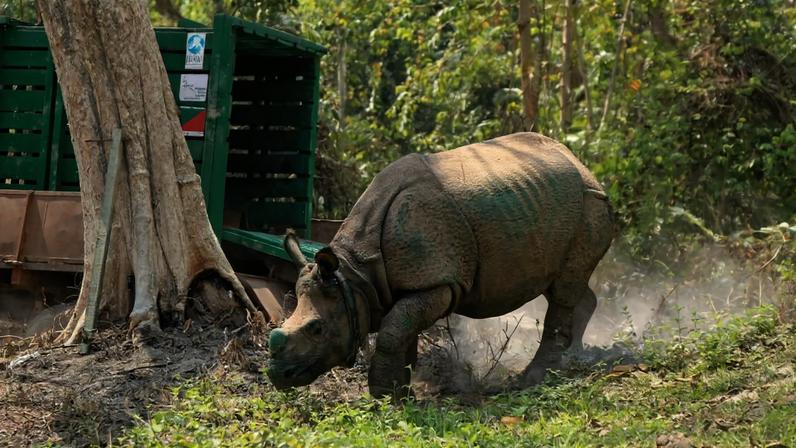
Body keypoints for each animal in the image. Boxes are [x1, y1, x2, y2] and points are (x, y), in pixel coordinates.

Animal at [267, 133, 615, 398]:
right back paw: (573, 357)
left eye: (316, 329)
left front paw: (384, 396)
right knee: (561, 285)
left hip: (590, 204)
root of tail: (581, 165)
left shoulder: (440, 282)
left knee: (564, 290)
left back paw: (534, 379)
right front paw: (402, 391)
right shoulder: (401, 284)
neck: (354, 275)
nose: (278, 375)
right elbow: (402, 331)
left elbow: (393, 331)